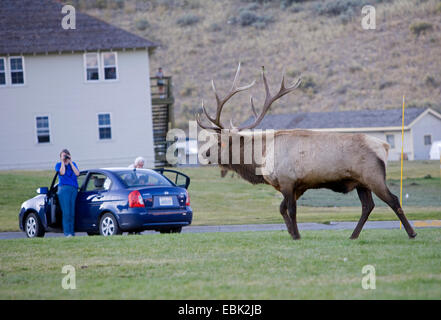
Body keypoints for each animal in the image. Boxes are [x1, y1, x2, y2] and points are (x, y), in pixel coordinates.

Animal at [196, 63, 416, 240]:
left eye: (220, 142)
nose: (204, 154)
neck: (261, 158)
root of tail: (384, 147)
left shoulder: (288, 181)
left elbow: (291, 210)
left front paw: (297, 235)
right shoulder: (298, 186)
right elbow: (282, 209)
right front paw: (292, 233)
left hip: (373, 176)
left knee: (393, 199)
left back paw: (411, 232)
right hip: (361, 183)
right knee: (367, 206)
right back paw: (353, 235)